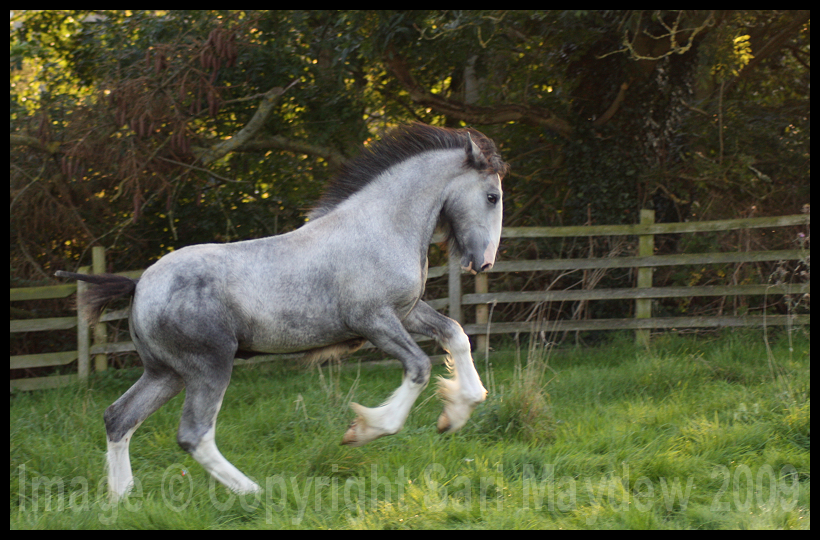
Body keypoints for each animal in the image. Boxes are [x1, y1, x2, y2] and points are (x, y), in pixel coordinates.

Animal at [56, 122, 506, 498]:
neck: (379, 228)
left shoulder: (407, 312)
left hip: (165, 372)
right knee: (194, 434)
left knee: (119, 418)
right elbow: (418, 367)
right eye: (492, 196)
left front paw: (456, 413)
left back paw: (121, 498)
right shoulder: (374, 320)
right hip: (208, 366)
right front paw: (363, 430)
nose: (483, 263)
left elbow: (455, 334)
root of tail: (140, 286)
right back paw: (253, 492)